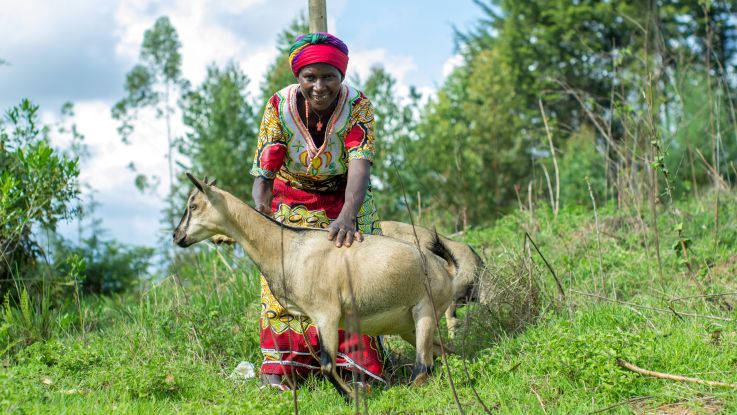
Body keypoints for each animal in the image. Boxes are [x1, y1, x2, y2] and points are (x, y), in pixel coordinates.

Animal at [173, 173, 455, 399]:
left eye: (193, 205)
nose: (177, 236)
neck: (288, 246)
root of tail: (446, 270)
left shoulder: (326, 314)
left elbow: (327, 365)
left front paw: (351, 397)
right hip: (408, 325)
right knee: (439, 352)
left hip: (425, 310)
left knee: (423, 366)